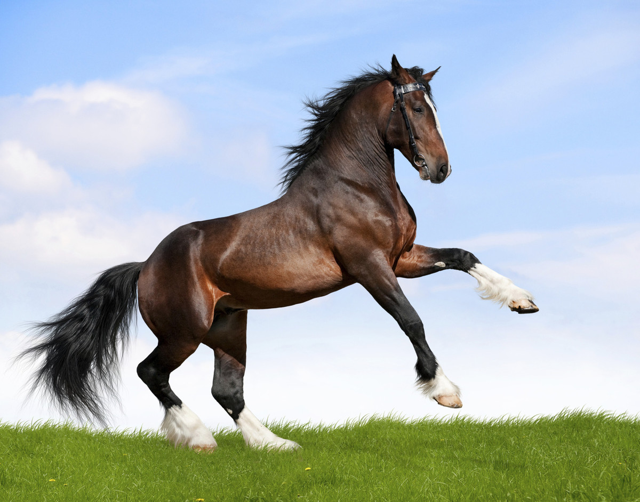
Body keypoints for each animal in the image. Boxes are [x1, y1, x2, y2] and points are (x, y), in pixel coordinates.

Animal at [19, 55, 538, 451]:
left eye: (433, 105)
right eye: (413, 106)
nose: (440, 168)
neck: (358, 185)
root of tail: (145, 266)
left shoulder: (402, 259)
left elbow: (463, 256)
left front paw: (522, 301)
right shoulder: (370, 266)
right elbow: (411, 321)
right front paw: (445, 392)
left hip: (228, 327)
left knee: (226, 390)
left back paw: (274, 444)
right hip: (185, 332)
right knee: (152, 372)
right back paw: (198, 438)